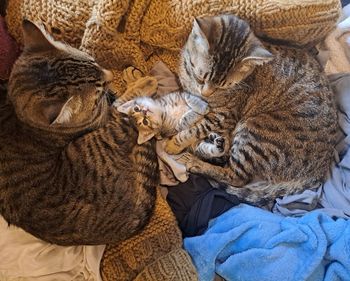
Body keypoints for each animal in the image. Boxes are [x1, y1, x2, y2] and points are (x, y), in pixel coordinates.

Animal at [0, 19, 159, 244]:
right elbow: (123, 100)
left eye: (94, 61)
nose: (111, 75)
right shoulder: (107, 118)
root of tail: (132, 222)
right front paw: (142, 81)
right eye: (98, 90)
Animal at [165, 14, 338, 206]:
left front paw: (174, 143)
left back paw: (197, 163)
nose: (206, 93)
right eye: (200, 77)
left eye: (224, 85)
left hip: (254, 133)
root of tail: (321, 169)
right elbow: (192, 109)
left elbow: (195, 129)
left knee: (235, 176)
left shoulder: (224, 115)